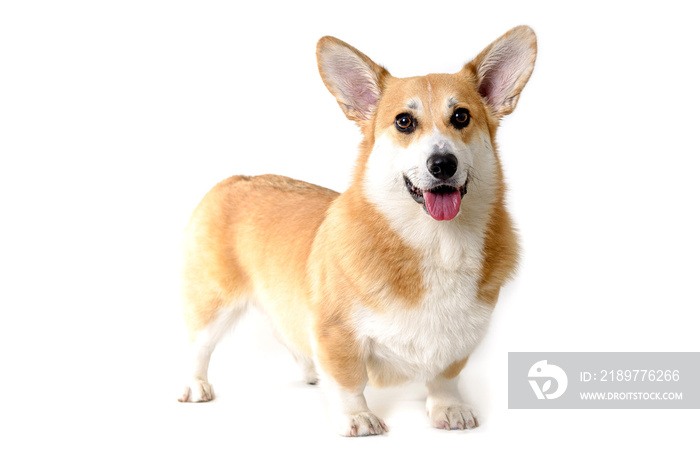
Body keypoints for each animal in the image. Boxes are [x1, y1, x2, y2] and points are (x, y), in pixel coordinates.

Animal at [179, 27, 536, 436]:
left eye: (461, 116)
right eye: (404, 122)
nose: (443, 164)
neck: (438, 242)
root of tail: (237, 178)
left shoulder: (460, 338)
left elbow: (445, 377)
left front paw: (449, 408)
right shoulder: (336, 333)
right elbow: (349, 381)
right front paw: (357, 417)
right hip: (213, 300)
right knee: (198, 345)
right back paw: (195, 385)